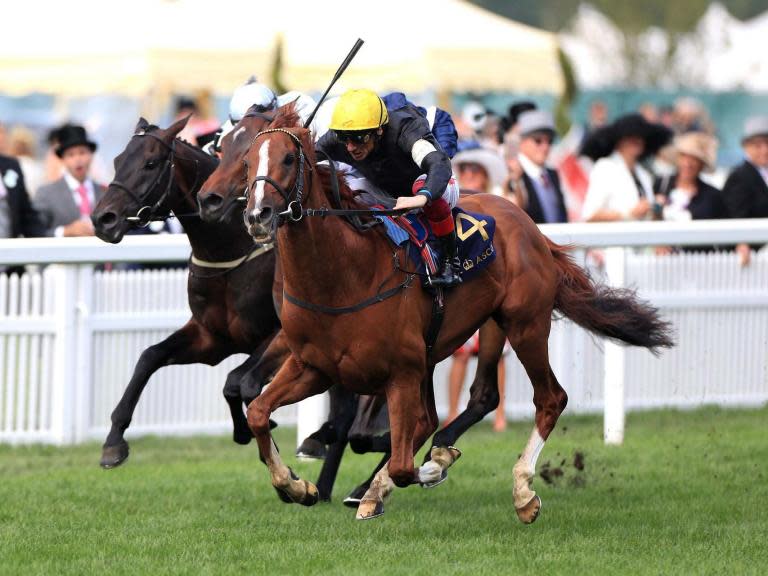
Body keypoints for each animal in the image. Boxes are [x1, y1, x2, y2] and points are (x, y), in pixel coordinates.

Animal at [90, 116, 282, 468]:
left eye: (150, 163)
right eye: (117, 161)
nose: (102, 219)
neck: (231, 249)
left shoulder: (280, 334)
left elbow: (237, 382)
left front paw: (255, 430)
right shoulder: (213, 338)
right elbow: (149, 357)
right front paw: (113, 442)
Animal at [240, 119, 672, 524]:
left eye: (288, 159)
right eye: (246, 162)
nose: (257, 215)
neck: (344, 276)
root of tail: (528, 224)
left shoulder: (400, 371)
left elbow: (403, 465)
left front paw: (430, 468)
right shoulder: (313, 367)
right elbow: (259, 412)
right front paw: (296, 486)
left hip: (525, 324)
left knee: (550, 398)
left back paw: (520, 491)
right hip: (475, 332)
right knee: (474, 399)